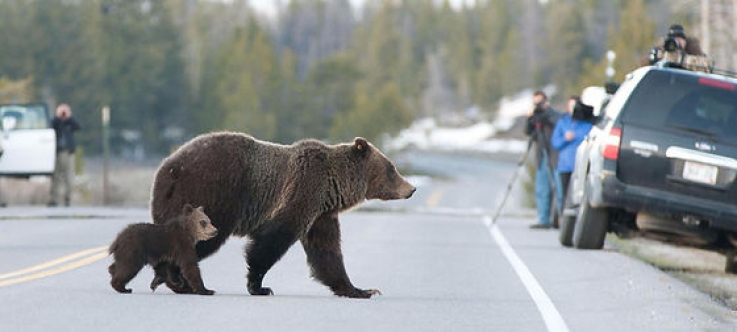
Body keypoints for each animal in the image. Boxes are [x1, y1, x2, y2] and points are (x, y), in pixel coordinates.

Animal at [151, 133, 414, 298]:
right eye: (392, 169)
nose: (411, 188)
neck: (333, 187)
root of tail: (166, 167)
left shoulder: (321, 215)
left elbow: (327, 253)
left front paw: (360, 290)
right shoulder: (302, 191)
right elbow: (272, 241)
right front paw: (259, 286)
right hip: (209, 195)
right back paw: (177, 280)